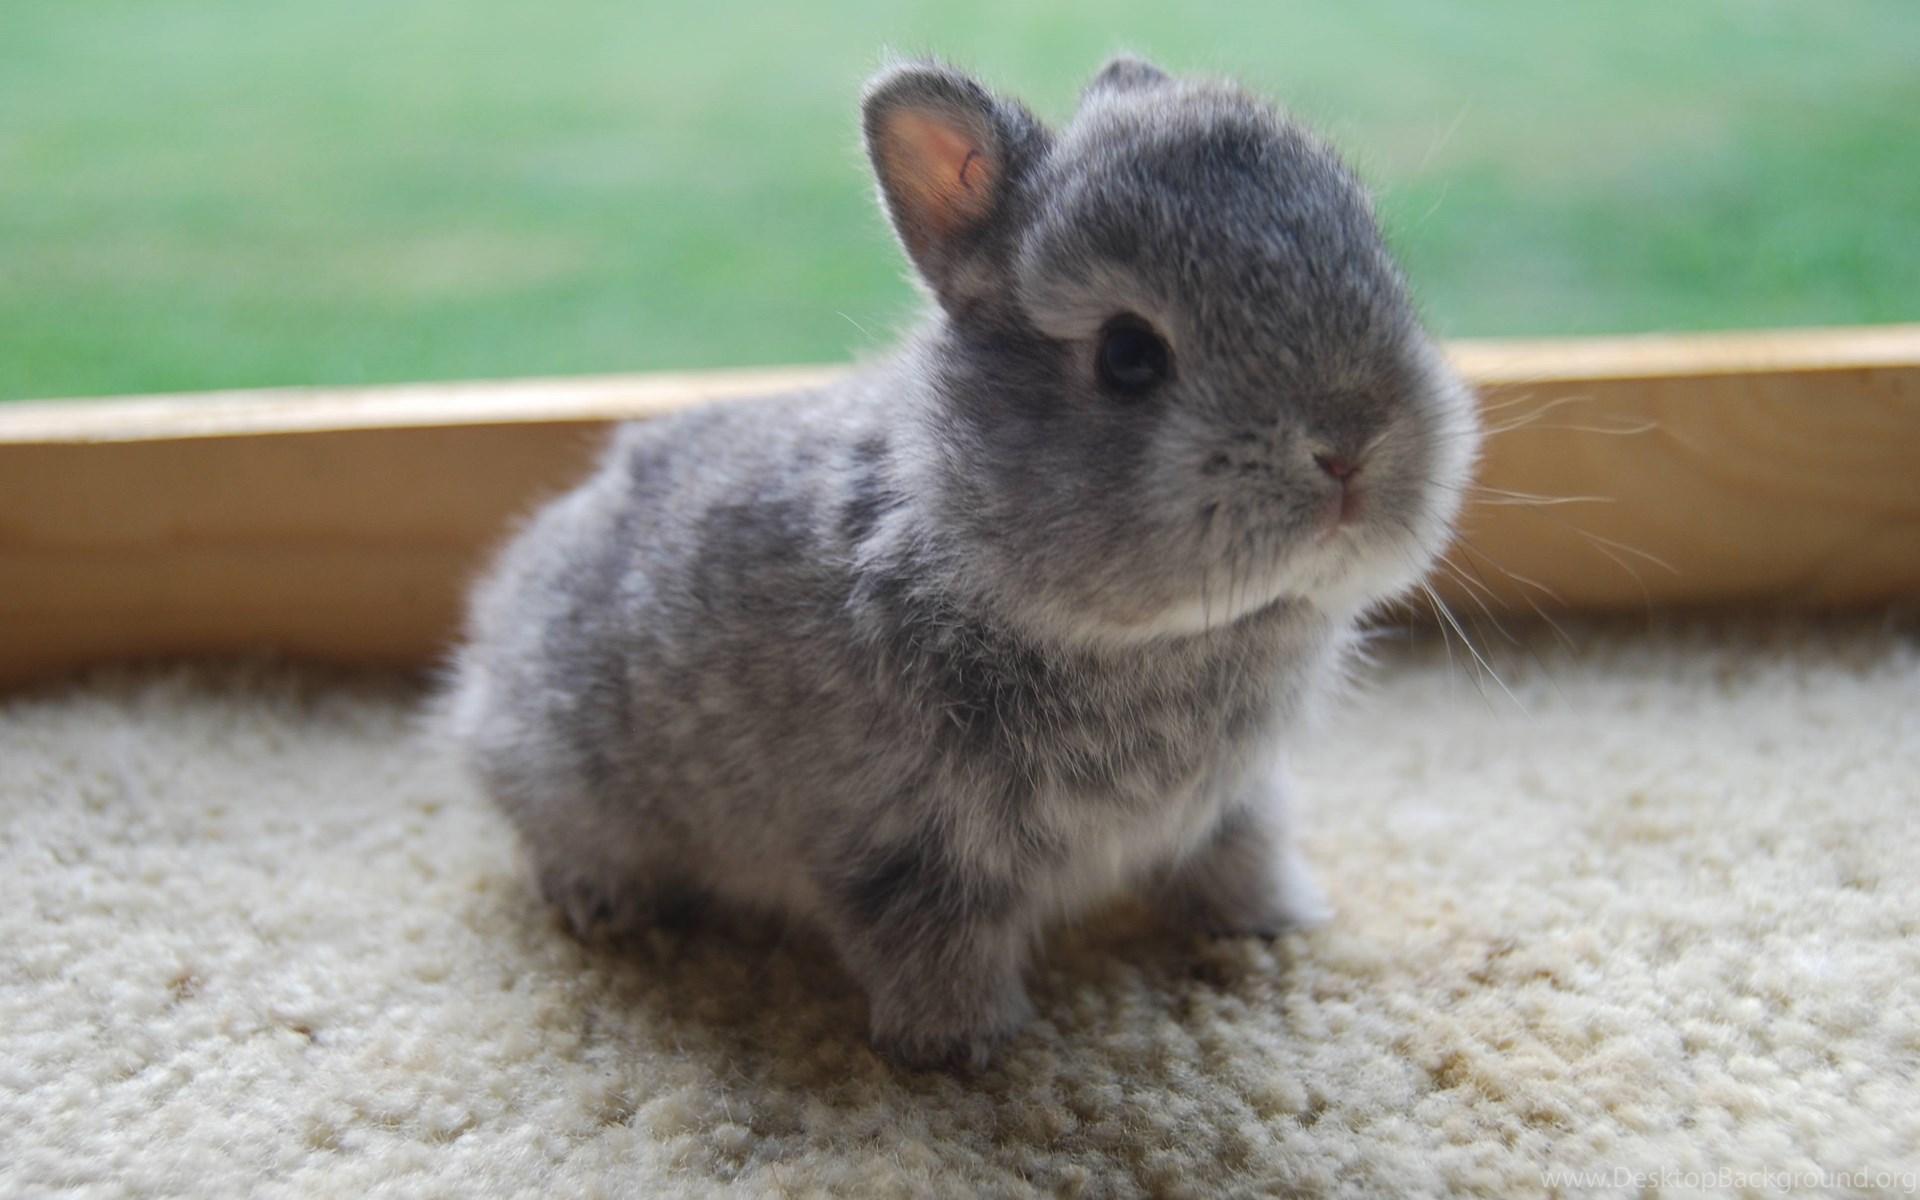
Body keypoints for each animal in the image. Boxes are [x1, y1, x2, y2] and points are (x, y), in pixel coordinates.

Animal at [445, 55, 1480, 1070]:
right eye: (1128, 355)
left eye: (1381, 270)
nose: (1350, 448)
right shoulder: (902, 849)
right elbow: (929, 938)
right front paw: (961, 1046)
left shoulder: (1232, 805)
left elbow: (1241, 855)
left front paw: (1276, 922)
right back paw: (603, 903)